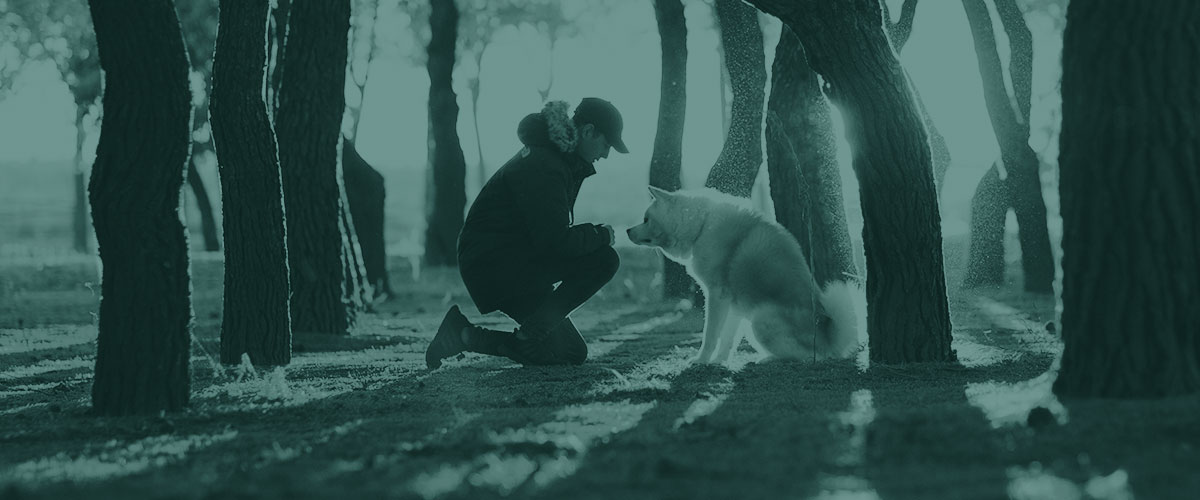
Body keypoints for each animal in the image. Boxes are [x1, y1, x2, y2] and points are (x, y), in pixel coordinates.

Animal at [628, 184, 864, 364]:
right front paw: (719, 362)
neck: (702, 224)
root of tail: (829, 340)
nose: (628, 231)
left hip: (760, 320)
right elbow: (727, 340)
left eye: (646, 219)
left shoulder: (716, 297)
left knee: (808, 357)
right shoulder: (735, 305)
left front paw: (702, 361)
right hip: (752, 321)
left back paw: (769, 359)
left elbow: (710, 335)